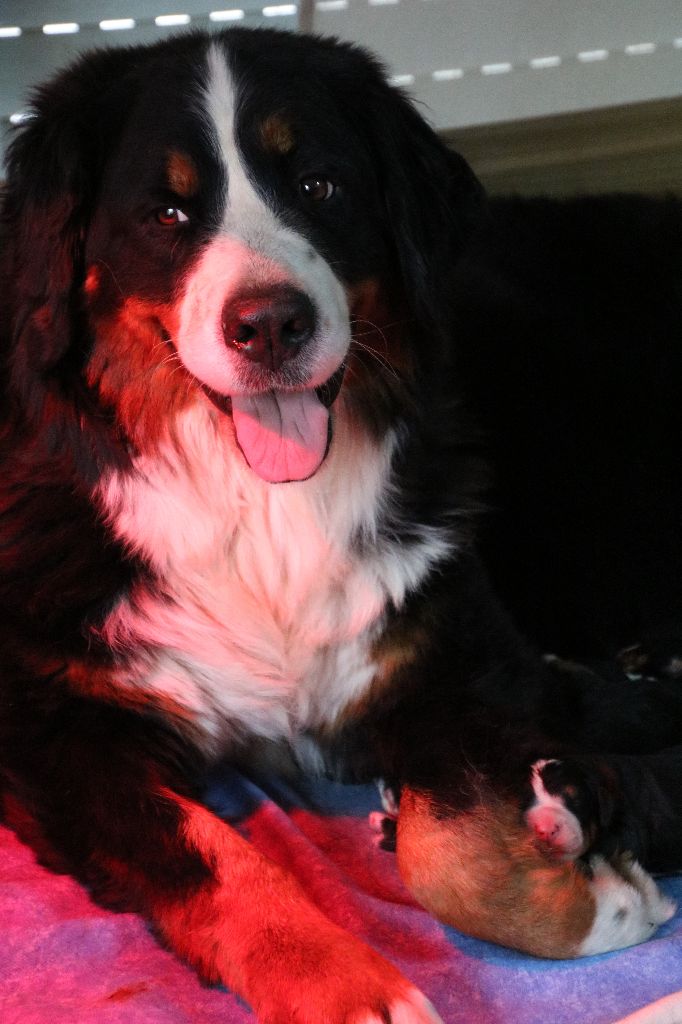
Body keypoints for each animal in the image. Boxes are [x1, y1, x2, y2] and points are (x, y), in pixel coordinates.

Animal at [1, 25, 679, 1024]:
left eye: (320, 187)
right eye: (166, 213)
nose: (270, 324)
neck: (264, 506)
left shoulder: (456, 659)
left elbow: (455, 852)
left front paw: (605, 898)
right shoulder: (56, 726)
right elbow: (217, 861)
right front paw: (345, 983)